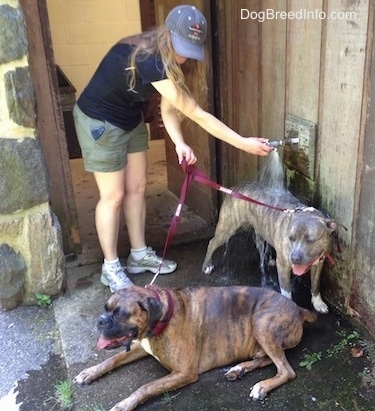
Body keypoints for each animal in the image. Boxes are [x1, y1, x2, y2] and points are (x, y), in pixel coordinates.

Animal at [74, 284, 318, 411]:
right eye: (106, 308)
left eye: (120, 314)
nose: (100, 320)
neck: (162, 317)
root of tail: (299, 309)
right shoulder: (142, 346)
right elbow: (112, 359)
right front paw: (89, 373)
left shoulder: (184, 373)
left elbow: (146, 387)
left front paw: (125, 404)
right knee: (265, 359)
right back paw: (239, 369)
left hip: (262, 323)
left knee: (286, 370)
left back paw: (262, 386)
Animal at [203, 182, 338, 314]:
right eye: (291, 238)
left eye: (310, 240)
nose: (294, 258)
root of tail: (235, 187)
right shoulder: (283, 266)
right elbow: (286, 291)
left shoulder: (319, 264)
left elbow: (315, 285)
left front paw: (318, 303)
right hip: (227, 228)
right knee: (212, 243)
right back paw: (207, 265)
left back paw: (268, 260)